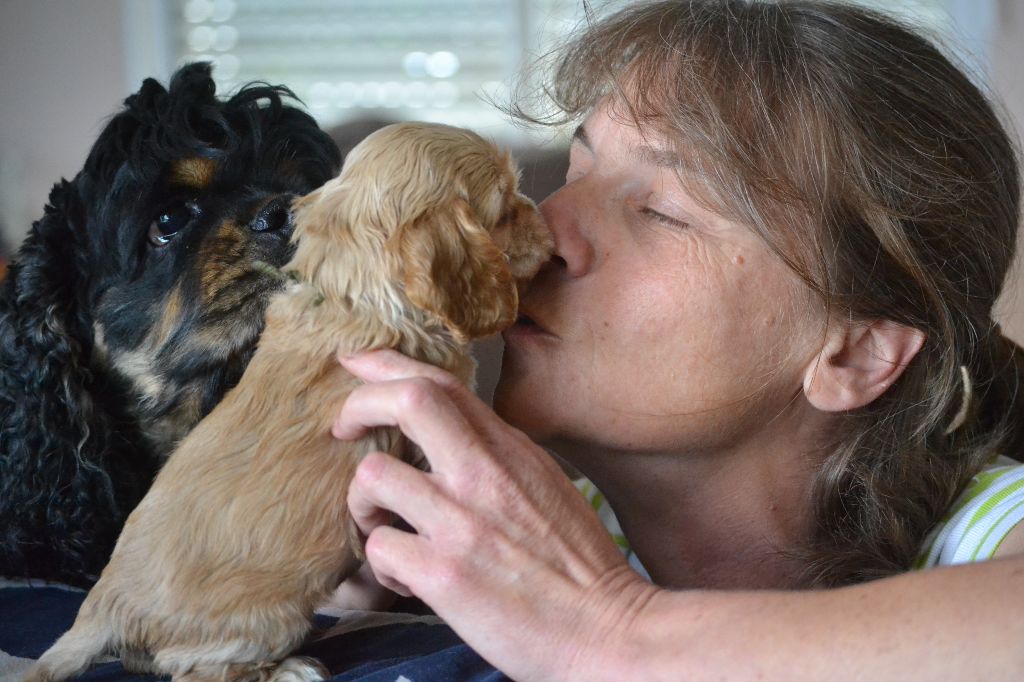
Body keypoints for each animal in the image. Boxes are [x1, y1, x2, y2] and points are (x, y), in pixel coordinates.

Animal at [24, 122, 552, 679]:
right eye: (506, 206)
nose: (545, 218)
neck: (351, 286)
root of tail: (104, 609)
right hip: (264, 622)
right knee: (194, 667)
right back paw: (292, 667)